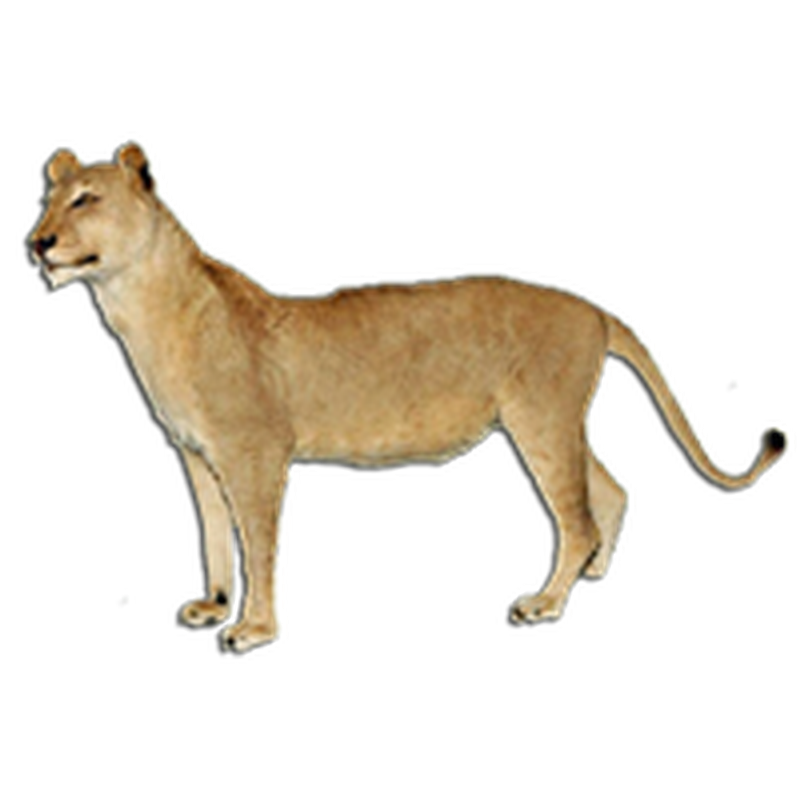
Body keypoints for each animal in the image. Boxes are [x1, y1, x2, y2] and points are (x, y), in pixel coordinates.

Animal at [29, 142, 790, 651]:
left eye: (86, 199)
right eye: (47, 199)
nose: (38, 243)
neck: (141, 303)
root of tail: (593, 308)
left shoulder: (255, 456)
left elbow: (257, 540)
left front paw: (254, 627)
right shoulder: (197, 455)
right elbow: (217, 536)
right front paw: (211, 606)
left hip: (539, 419)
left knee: (576, 515)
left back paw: (547, 602)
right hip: (560, 422)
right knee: (609, 490)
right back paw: (598, 570)